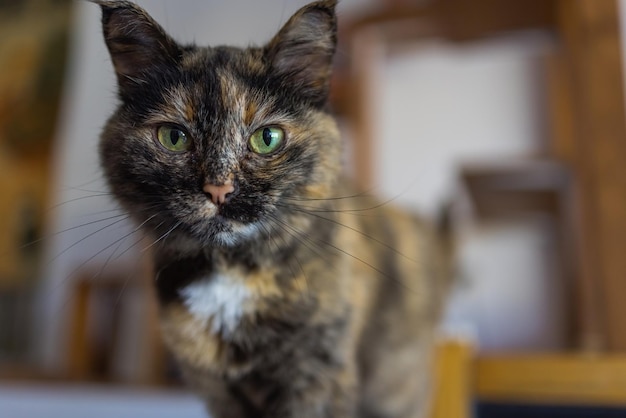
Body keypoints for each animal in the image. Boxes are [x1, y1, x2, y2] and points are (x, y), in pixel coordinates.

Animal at [94, 0, 448, 418]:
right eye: (174, 137)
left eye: (267, 138)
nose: (219, 188)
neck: (231, 275)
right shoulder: (217, 389)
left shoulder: (317, 374)